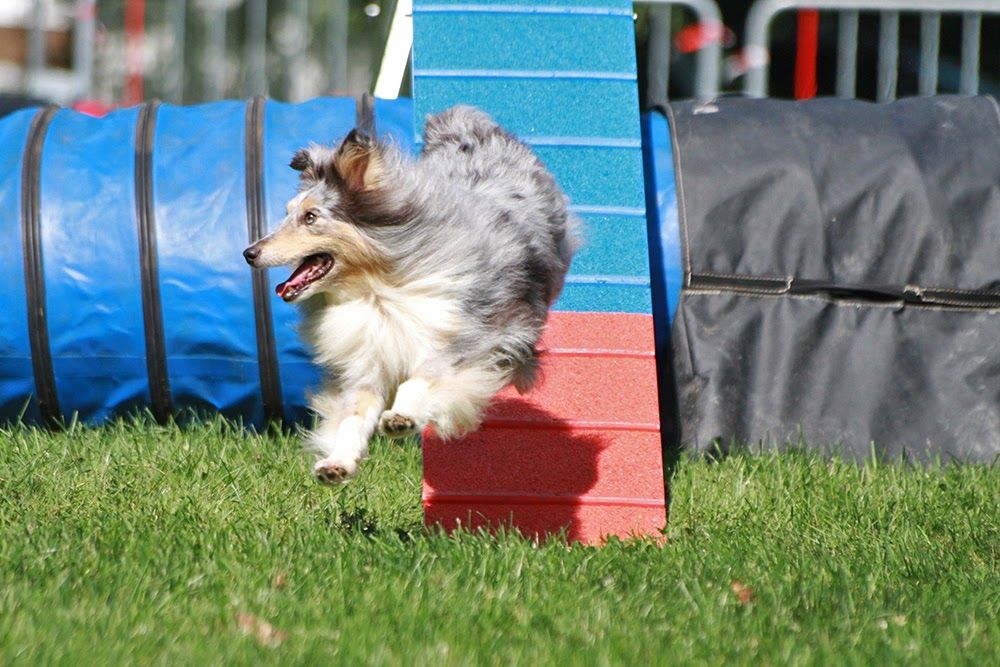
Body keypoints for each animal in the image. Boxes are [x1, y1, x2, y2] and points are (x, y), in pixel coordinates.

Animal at [241, 102, 580, 482]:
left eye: (310, 217)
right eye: (287, 213)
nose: (249, 253)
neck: (377, 289)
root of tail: (471, 128)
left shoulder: (468, 335)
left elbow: (423, 376)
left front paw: (401, 418)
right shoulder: (366, 359)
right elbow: (353, 416)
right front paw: (337, 463)